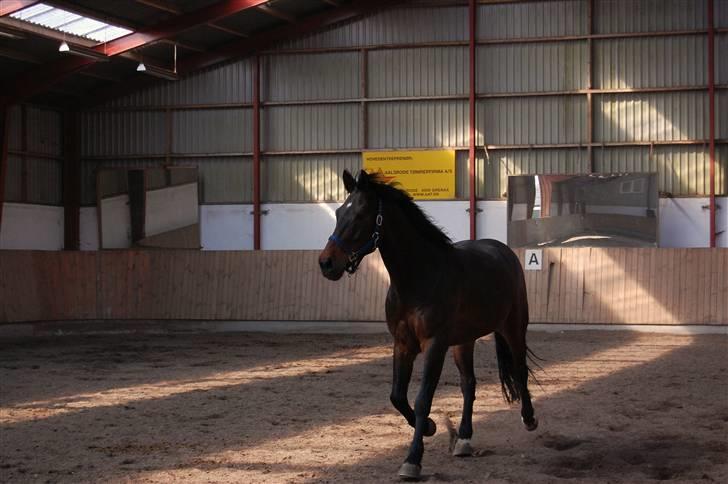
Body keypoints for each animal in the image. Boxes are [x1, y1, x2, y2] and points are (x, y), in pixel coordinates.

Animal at [316, 170, 536, 480]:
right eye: (338, 213)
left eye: (360, 214)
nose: (326, 263)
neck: (420, 277)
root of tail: (503, 251)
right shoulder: (403, 344)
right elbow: (397, 396)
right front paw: (431, 427)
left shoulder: (434, 345)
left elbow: (422, 399)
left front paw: (412, 460)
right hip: (463, 341)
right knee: (469, 384)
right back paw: (464, 439)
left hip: (513, 327)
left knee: (519, 370)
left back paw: (529, 419)